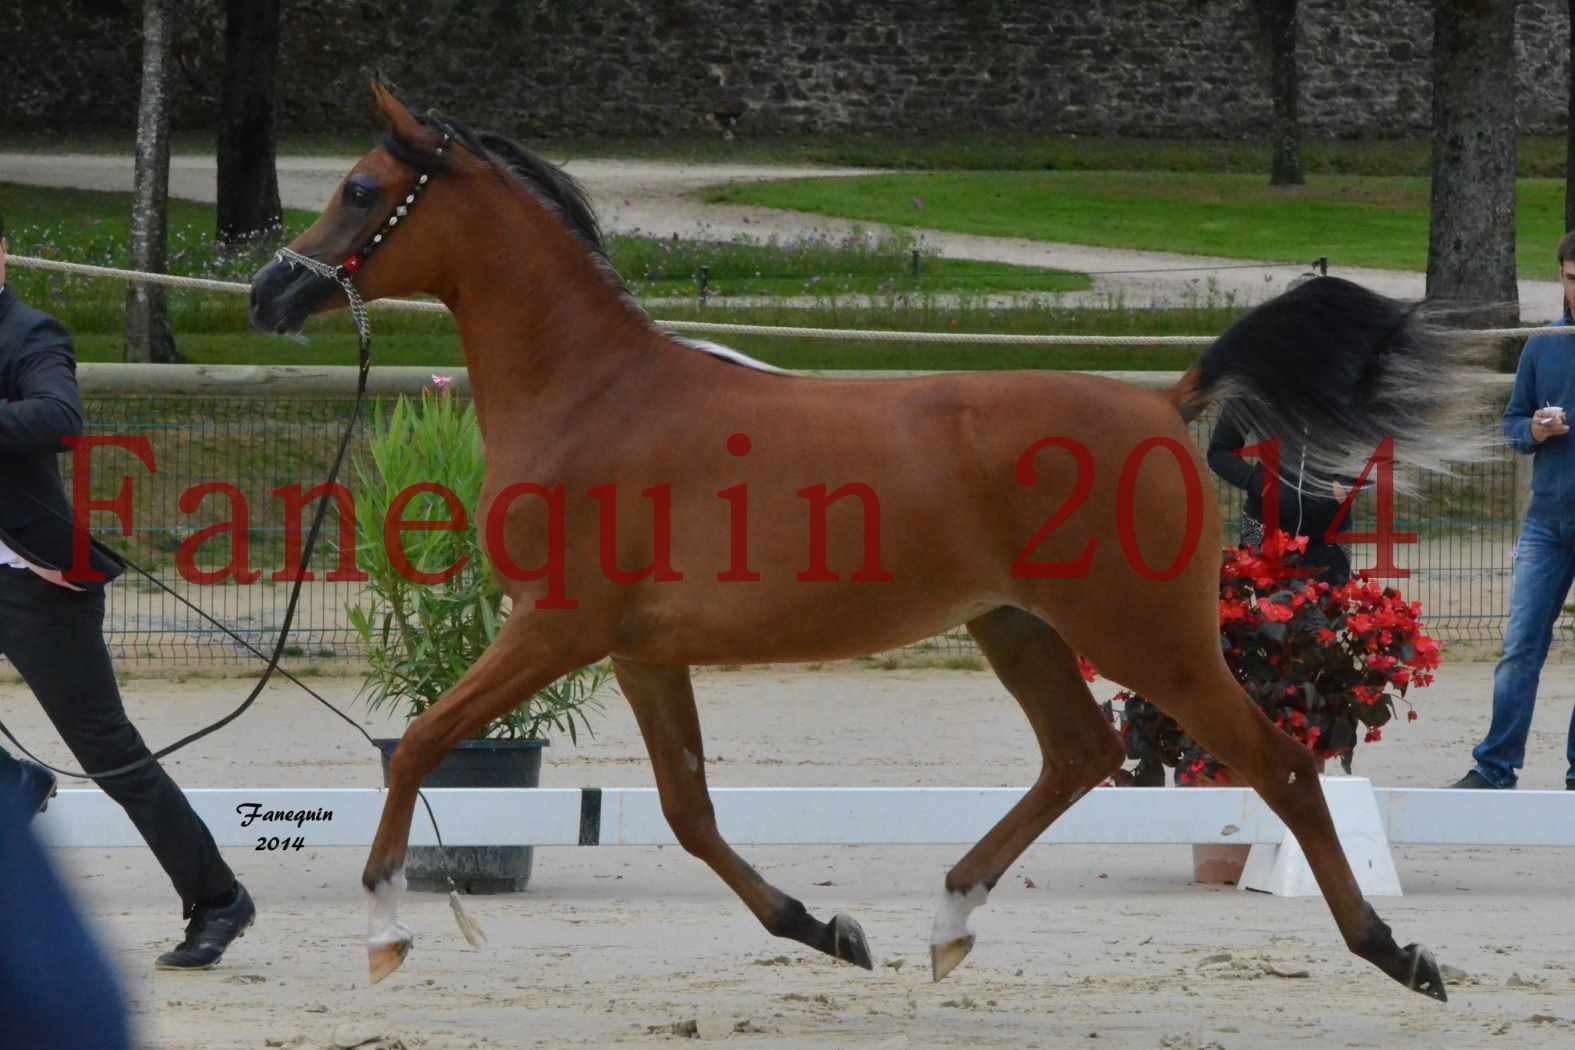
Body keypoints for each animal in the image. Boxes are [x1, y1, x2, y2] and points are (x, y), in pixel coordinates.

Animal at [248, 82, 1486, 1001]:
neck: (592, 393)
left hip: (1155, 643)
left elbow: (417, 744)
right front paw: (826, 929)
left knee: (1280, 764)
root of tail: (1161, 400)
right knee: (1082, 752)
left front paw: (385, 926)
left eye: (362, 190)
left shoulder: (554, 629)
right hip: (1017, 627)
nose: (268, 291)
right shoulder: (641, 653)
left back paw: (1398, 954)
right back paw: (947, 920)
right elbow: (689, 813)